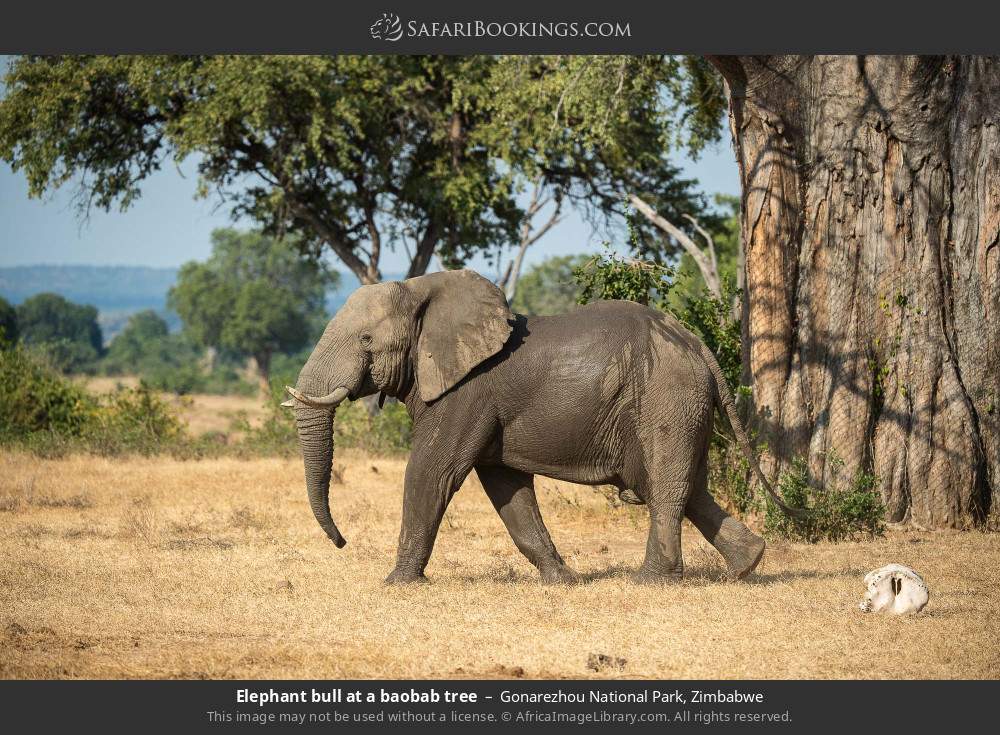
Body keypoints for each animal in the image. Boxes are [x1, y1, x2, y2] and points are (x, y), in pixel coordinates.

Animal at [284, 269, 801, 585]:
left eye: (366, 340)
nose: (341, 542)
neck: (421, 288)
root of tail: (699, 347)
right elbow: (506, 486)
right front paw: (563, 581)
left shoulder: (467, 392)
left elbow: (432, 472)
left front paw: (396, 584)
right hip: (681, 403)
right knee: (686, 487)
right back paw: (748, 564)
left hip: (666, 397)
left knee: (667, 485)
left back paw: (652, 580)